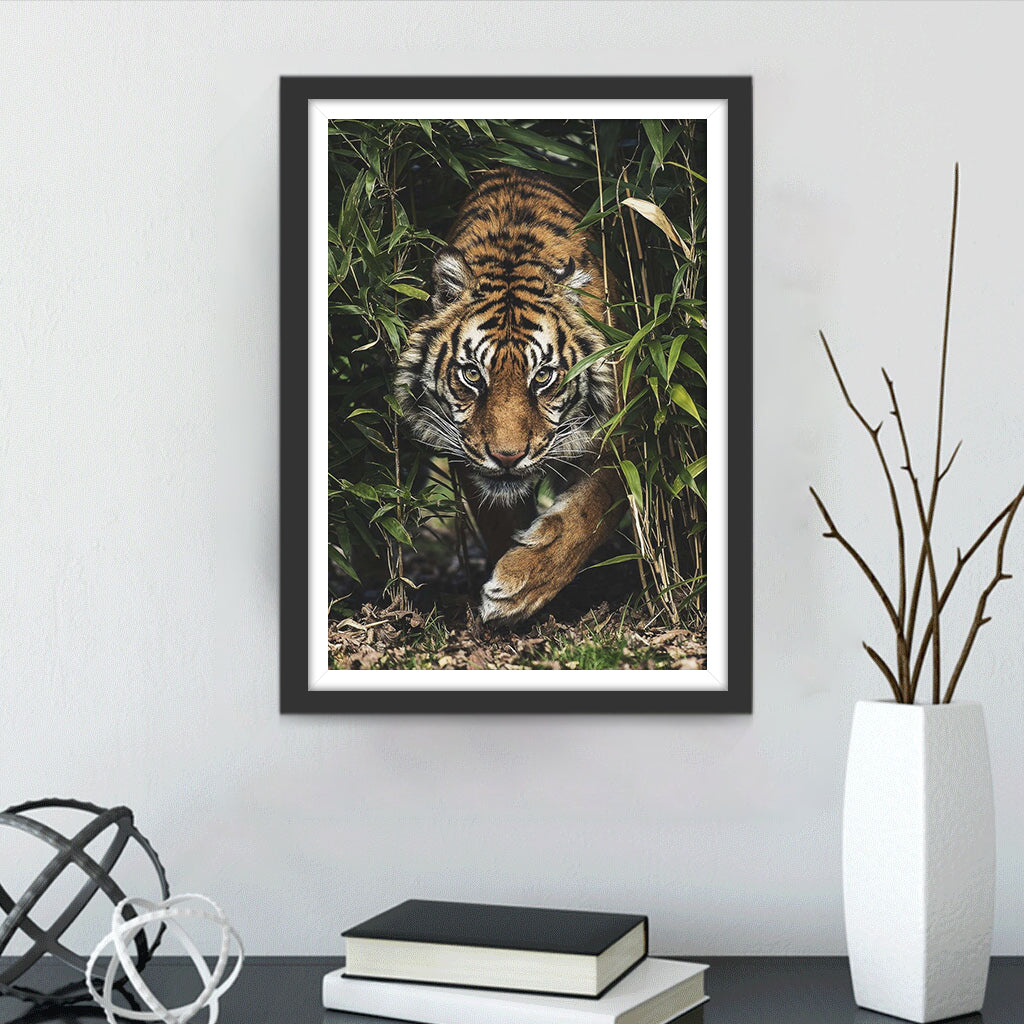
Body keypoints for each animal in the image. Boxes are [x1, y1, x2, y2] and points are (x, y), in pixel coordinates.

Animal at [395, 167, 625, 623]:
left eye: (543, 377)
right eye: (472, 374)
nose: (506, 457)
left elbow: (591, 509)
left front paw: (518, 586)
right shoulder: (464, 452)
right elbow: (499, 519)